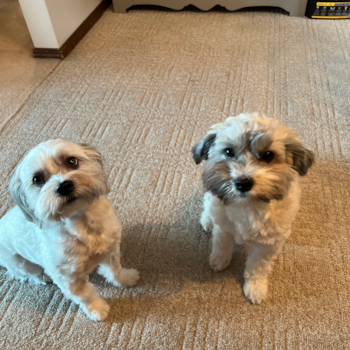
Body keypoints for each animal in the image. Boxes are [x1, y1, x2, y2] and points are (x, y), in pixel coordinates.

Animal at [0, 139, 139, 320]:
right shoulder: (69, 280)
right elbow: (86, 296)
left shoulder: (110, 250)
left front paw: (126, 278)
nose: (64, 186)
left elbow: (115, 270)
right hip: (19, 263)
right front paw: (97, 310)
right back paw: (42, 276)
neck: (83, 224)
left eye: (71, 161)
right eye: (37, 179)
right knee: (25, 274)